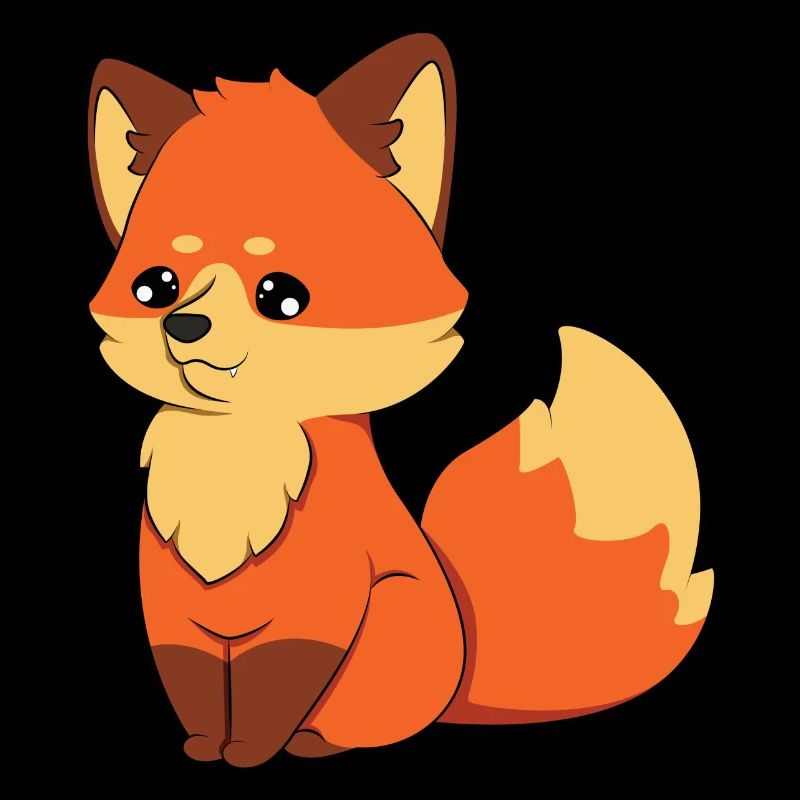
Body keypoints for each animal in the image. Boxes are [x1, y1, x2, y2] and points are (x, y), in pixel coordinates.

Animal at [87, 34, 713, 767]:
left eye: (282, 295)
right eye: (155, 286)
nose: (184, 326)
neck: (232, 458)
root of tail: (457, 685)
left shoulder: (320, 610)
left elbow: (275, 685)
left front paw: (250, 751)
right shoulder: (172, 619)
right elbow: (194, 683)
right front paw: (205, 745)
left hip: (396, 613)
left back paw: (315, 742)